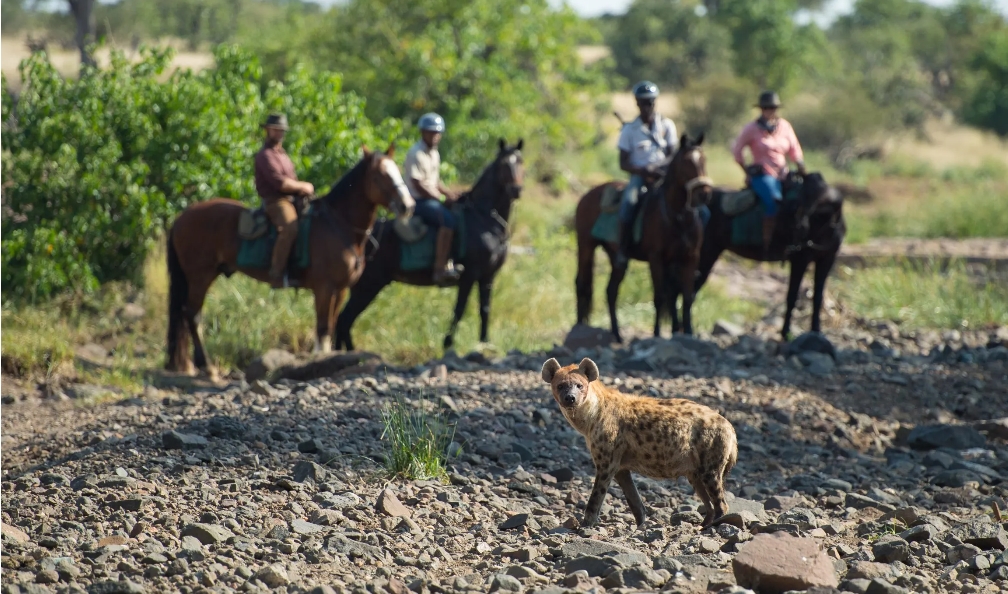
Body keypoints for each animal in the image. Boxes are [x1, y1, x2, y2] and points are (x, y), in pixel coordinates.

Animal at [164, 145, 415, 375]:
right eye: (380, 175)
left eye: (396, 171)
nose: (408, 205)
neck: (339, 225)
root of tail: (180, 217)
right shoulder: (324, 288)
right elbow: (322, 329)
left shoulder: (341, 290)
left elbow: (332, 324)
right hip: (200, 275)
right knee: (192, 315)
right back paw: (205, 365)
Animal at [334, 139, 525, 352]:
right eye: (503, 165)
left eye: (520, 162)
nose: (516, 190)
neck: (484, 219)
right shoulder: (469, 276)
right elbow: (459, 309)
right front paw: (448, 344)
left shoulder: (488, 276)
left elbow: (485, 309)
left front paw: (485, 343)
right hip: (368, 285)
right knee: (344, 320)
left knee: (343, 322)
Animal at [573, 133, 713, 342]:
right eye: (686, 163)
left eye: (704, 160)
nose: (704, 194)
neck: (678, 216)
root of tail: (587, 195)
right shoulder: (656, 259)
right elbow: (660, 296)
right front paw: (656, 334)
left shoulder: (689, 258)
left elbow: (686, 297)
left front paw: (687, 333)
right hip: (586, 246)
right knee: (581, 284)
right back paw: (579, 327)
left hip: (616, 257)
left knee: (611, 291)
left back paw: (617, 335)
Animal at [689, 171, 846, 340]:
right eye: (802, 195)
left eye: (812, 196)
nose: (800, 227)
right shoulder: (800, 260)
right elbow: (792, 296)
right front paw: (785, 332)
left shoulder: (827, 259)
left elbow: (817, 297)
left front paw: (816, 331)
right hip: (707, 252)